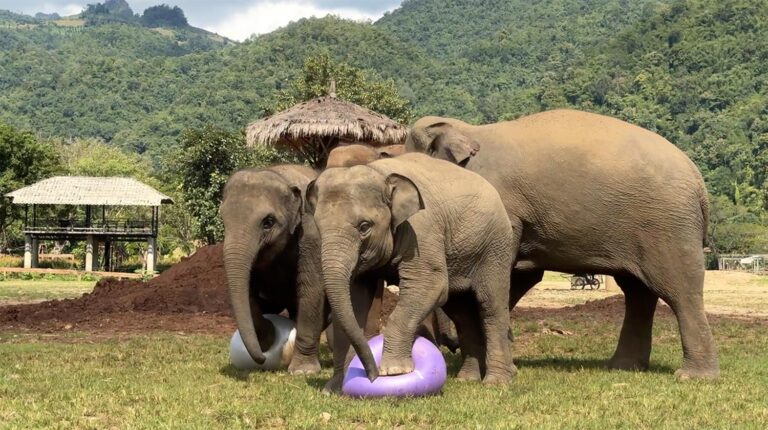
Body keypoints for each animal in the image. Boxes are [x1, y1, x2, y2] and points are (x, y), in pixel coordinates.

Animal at [220, 164, 328, 375]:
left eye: (268, 222)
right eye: (223, 221)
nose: (262, 358)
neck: (279, 175)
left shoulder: (311, 234)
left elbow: (311, 290)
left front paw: (303, 372)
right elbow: (249, 293)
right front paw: (269, 332)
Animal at [307, 153, 517, 390]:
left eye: (364, 226)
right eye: (318, 226)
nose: (372, 376)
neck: (380, 173)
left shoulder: (422, 231)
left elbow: (431, 284)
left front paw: (394, 371)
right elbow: (355, 297)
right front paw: (333, 388)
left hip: (495, 248)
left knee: (491, 306)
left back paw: (496, 382)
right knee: (462, 312)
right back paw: (467, 379)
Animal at [405, 109, 719, 379]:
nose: (447, 343)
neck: (468, 130)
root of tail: (698, 181)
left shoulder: (503, 206)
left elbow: (506, 273)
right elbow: (522, 274)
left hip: (668, 227)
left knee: (679, 290)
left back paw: (692, 377)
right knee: (637, 292)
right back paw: (622, 367)